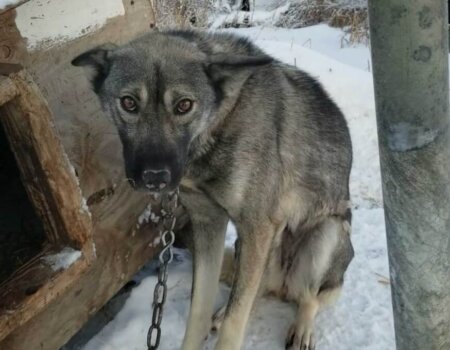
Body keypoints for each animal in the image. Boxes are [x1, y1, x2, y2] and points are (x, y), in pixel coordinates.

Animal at [73, 30, 356, 350]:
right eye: (129, 103)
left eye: (184, 105)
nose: (155, 177)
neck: (220, 120)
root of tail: (283, 283)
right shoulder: (209, 223)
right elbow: (199, 310)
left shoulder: (256, 226)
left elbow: (236, 320)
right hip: (252, 247)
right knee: (256, 289)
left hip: (325, 235)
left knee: (309, 298)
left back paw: (303, 327)